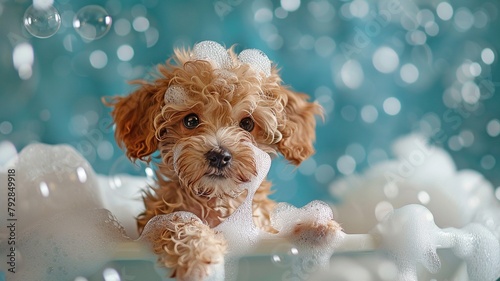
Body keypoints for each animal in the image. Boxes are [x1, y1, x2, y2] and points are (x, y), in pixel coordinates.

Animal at [105, 40, 340, 278]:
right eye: (191, 120)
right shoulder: (156, 219)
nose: (219, 155)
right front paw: (197, 253)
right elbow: (176, 223)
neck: (218, 203)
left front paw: (312, 225)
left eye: (247, 123)